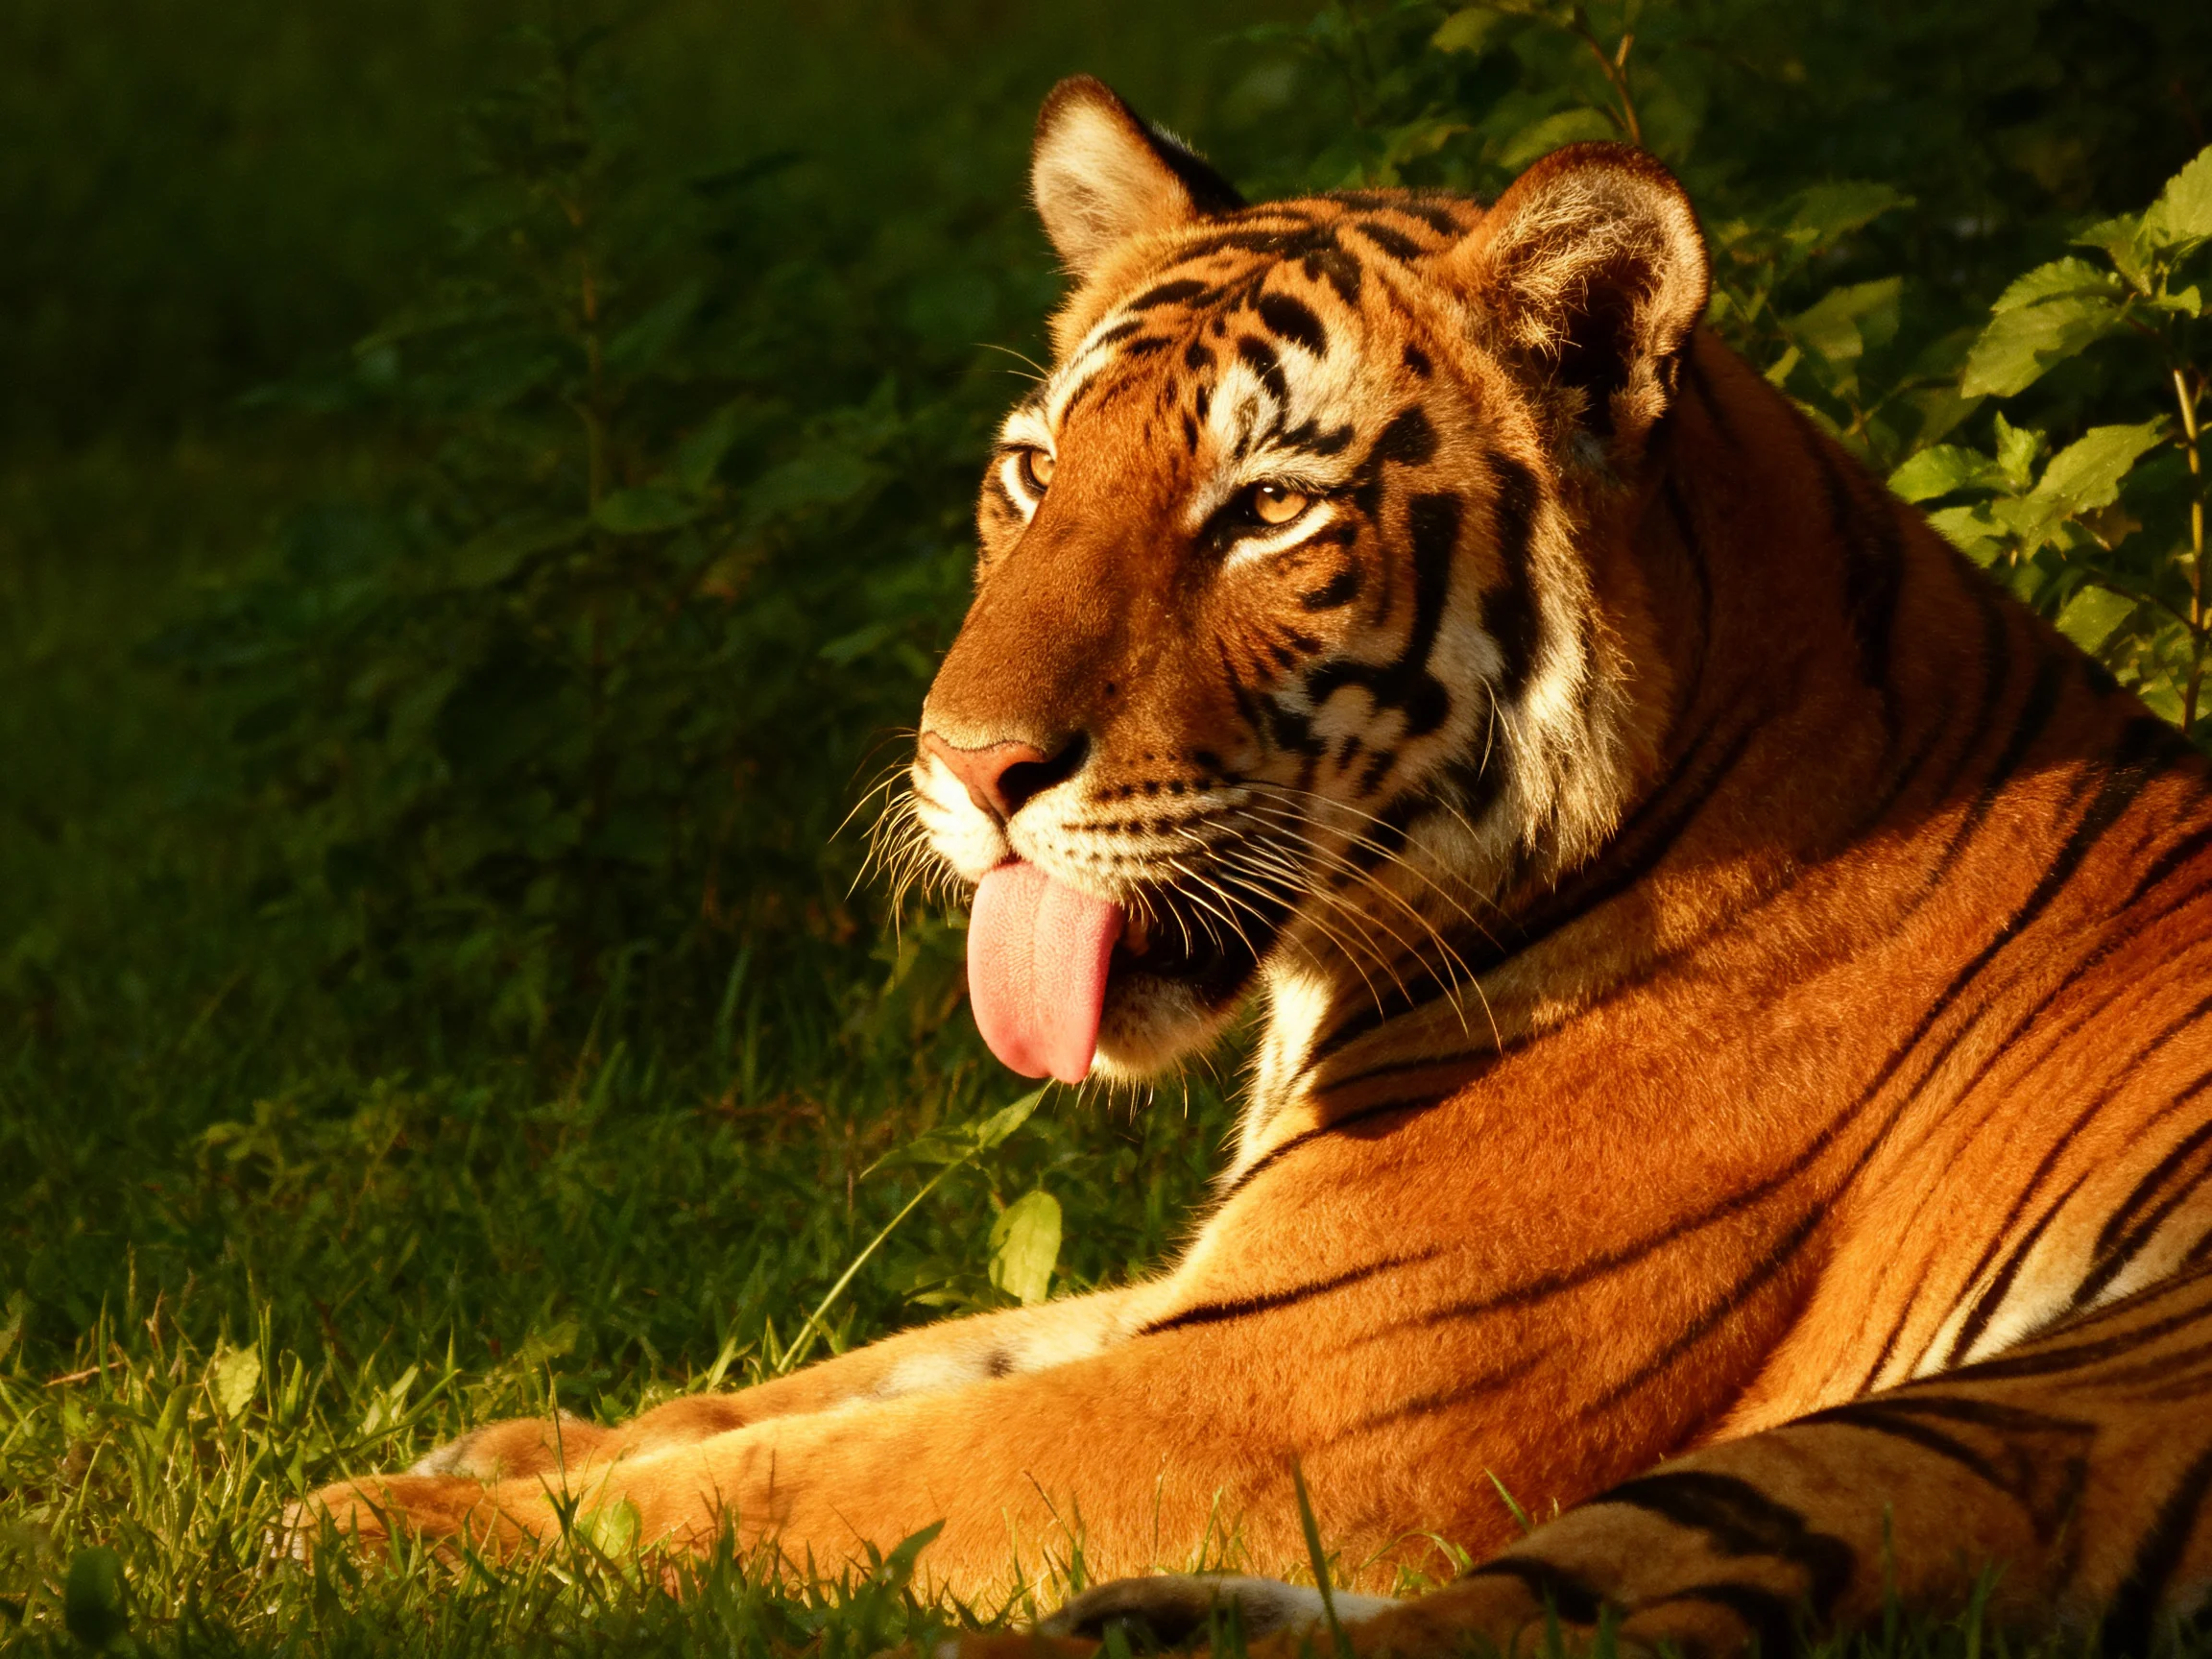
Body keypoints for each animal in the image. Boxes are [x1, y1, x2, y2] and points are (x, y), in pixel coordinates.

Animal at [301, 75, 2212, 1657]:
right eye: (1033, 471)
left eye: (1269, 512)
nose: (963, 766)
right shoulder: (1214, 1296)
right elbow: (866, 1366)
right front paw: (503, 1437)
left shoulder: (1269, 1391)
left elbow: (815, 1472)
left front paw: (377, 1524)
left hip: (1981, 1414)